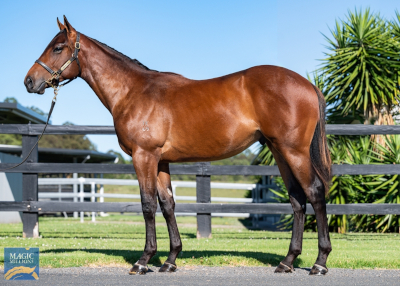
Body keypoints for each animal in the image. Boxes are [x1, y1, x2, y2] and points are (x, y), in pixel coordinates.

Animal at [24, 16, 332, 274]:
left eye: (58, 48)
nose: (29, 81)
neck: (133, 92)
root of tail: (308, 85)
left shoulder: (144, 156)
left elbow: (148, 204)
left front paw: (143, 261)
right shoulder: (161, 161)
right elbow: (168, 204)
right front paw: (171, 260)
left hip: (294, 152)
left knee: (315, 193)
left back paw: (319, 263)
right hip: (279, 152)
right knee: (297, 199)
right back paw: (287, 261)